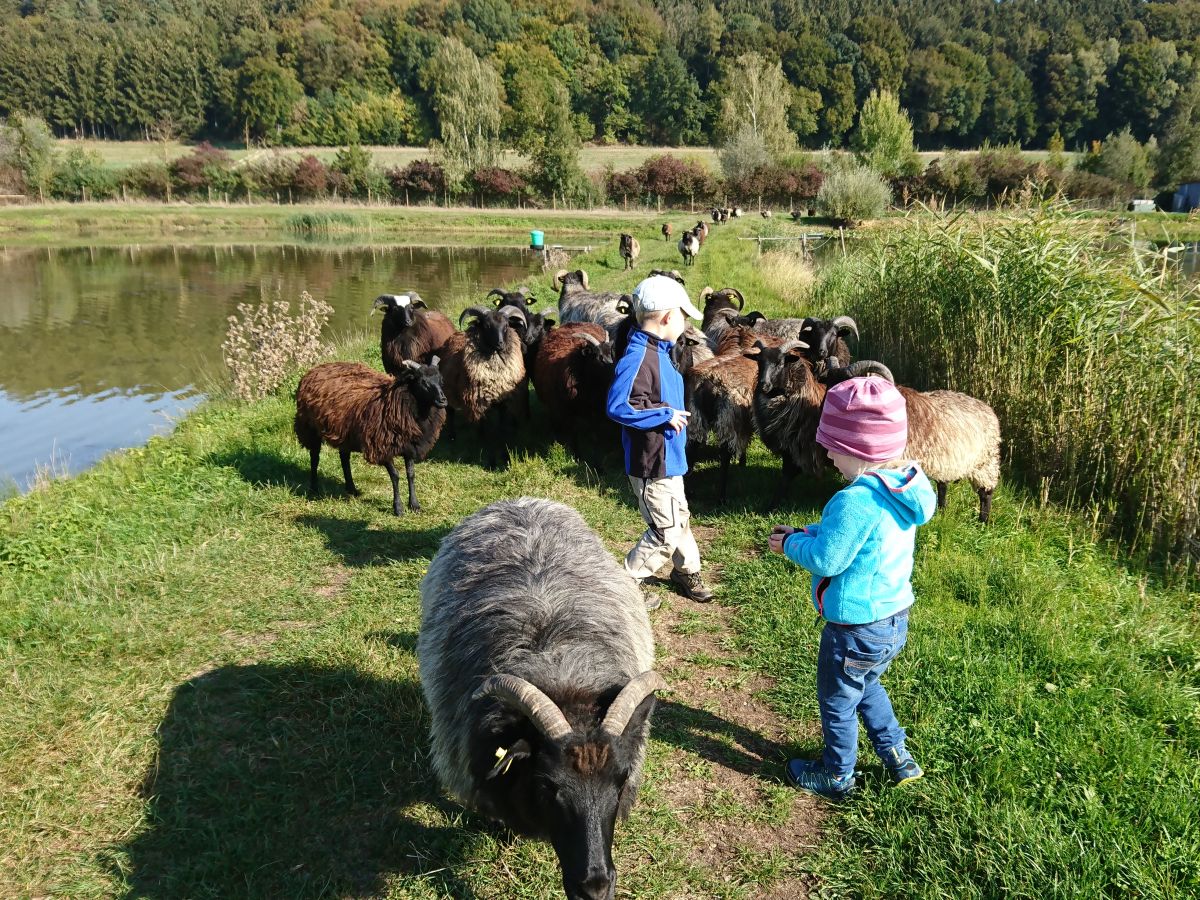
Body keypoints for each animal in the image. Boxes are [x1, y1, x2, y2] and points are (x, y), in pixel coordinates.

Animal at [295, 357, 451, 513]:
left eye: (441, 380)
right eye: (423, 381)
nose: (443, 400)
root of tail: (316, 369)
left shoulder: (409, 445)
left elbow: (411, 474)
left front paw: (414, 505)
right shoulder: (382, 446)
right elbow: (395, 475)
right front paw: (398, 507)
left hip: (344, 433)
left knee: (344, 458)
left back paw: (352, 489)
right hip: (309, 428)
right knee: (315, 457)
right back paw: (314, 488)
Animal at [439, 304, 528, 468]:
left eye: (506, 325)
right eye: (486, 326)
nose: (500, 344)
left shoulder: (502, 404)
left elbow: (501, 429)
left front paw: (505, 454)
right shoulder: (481, 404)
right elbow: (488, 433)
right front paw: (491, 460)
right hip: (447, 391)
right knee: (451, 412)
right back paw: (452, 436)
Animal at [830, 362, 998, 525]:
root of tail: (988, 409)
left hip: (985, 463)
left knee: (986, 494)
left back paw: (983, 522)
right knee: (943, 486)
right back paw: (942, 511)